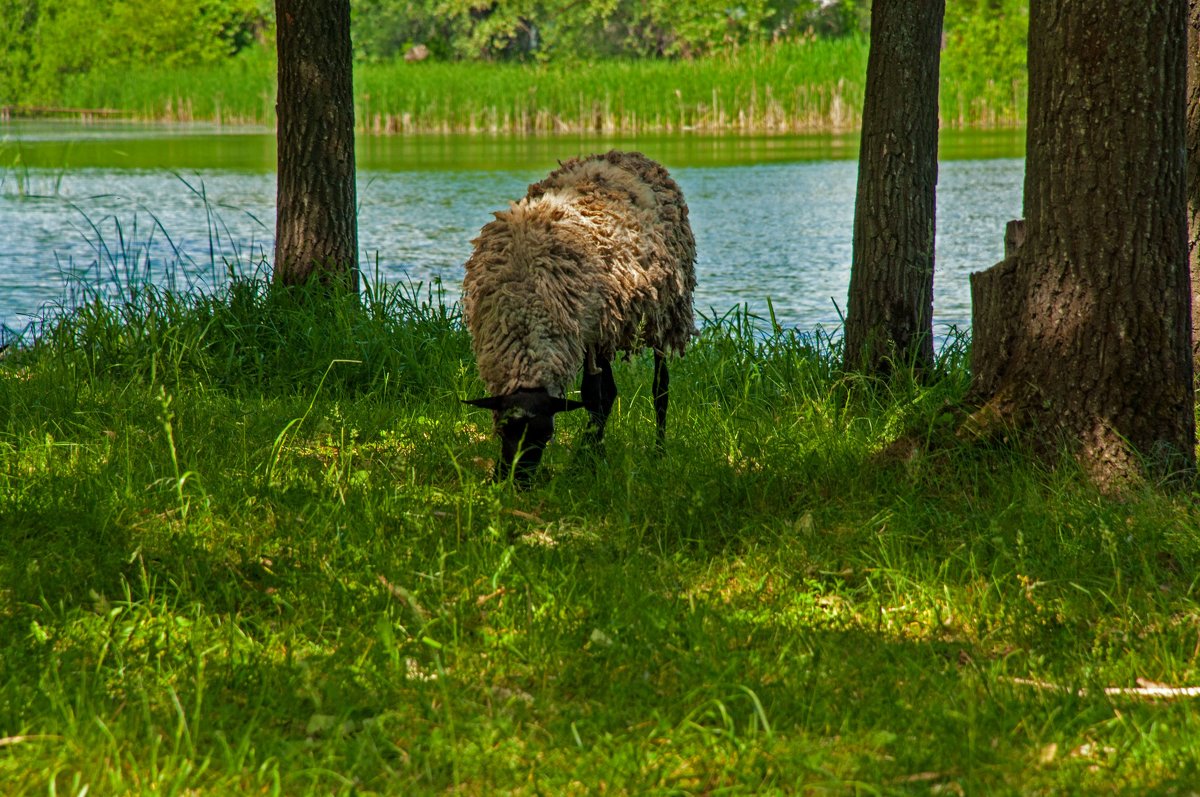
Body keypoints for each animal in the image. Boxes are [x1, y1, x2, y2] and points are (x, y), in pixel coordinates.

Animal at [463, 150, 700, 484]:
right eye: (502, 429)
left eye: (545, 436)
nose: (517, 483)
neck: (525, 314)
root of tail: (632, 154)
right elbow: (598, 398)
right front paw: (590, 454)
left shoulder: (585, 331)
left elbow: (593, 398)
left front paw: (586, 462)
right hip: (605, 330)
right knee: (609, 393)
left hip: (662, 316)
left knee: (659, 388)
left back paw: (657, 450)